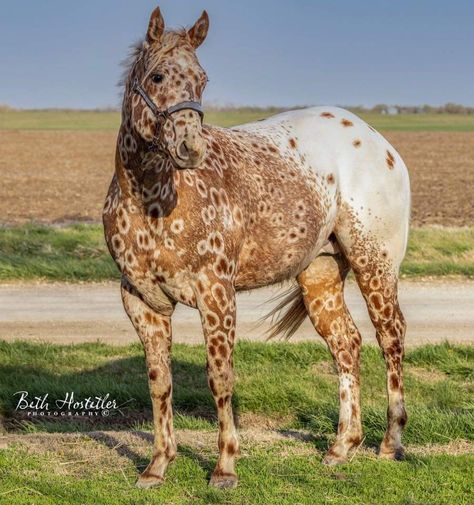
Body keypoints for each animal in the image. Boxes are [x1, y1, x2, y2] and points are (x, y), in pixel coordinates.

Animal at [103, 5, 412, 488]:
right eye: (156, 76)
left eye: (202, 78)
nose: (190, 147)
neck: (152, 198)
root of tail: (379, 145)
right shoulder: (141, 299)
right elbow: (159, 381)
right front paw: (157, 466)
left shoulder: (216, 293)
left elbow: (220, 377)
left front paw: (225, 467)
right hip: (320, 274)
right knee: (347, 344)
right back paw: (342, 447)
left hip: (374, 265)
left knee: (390, 337)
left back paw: (390, 443)